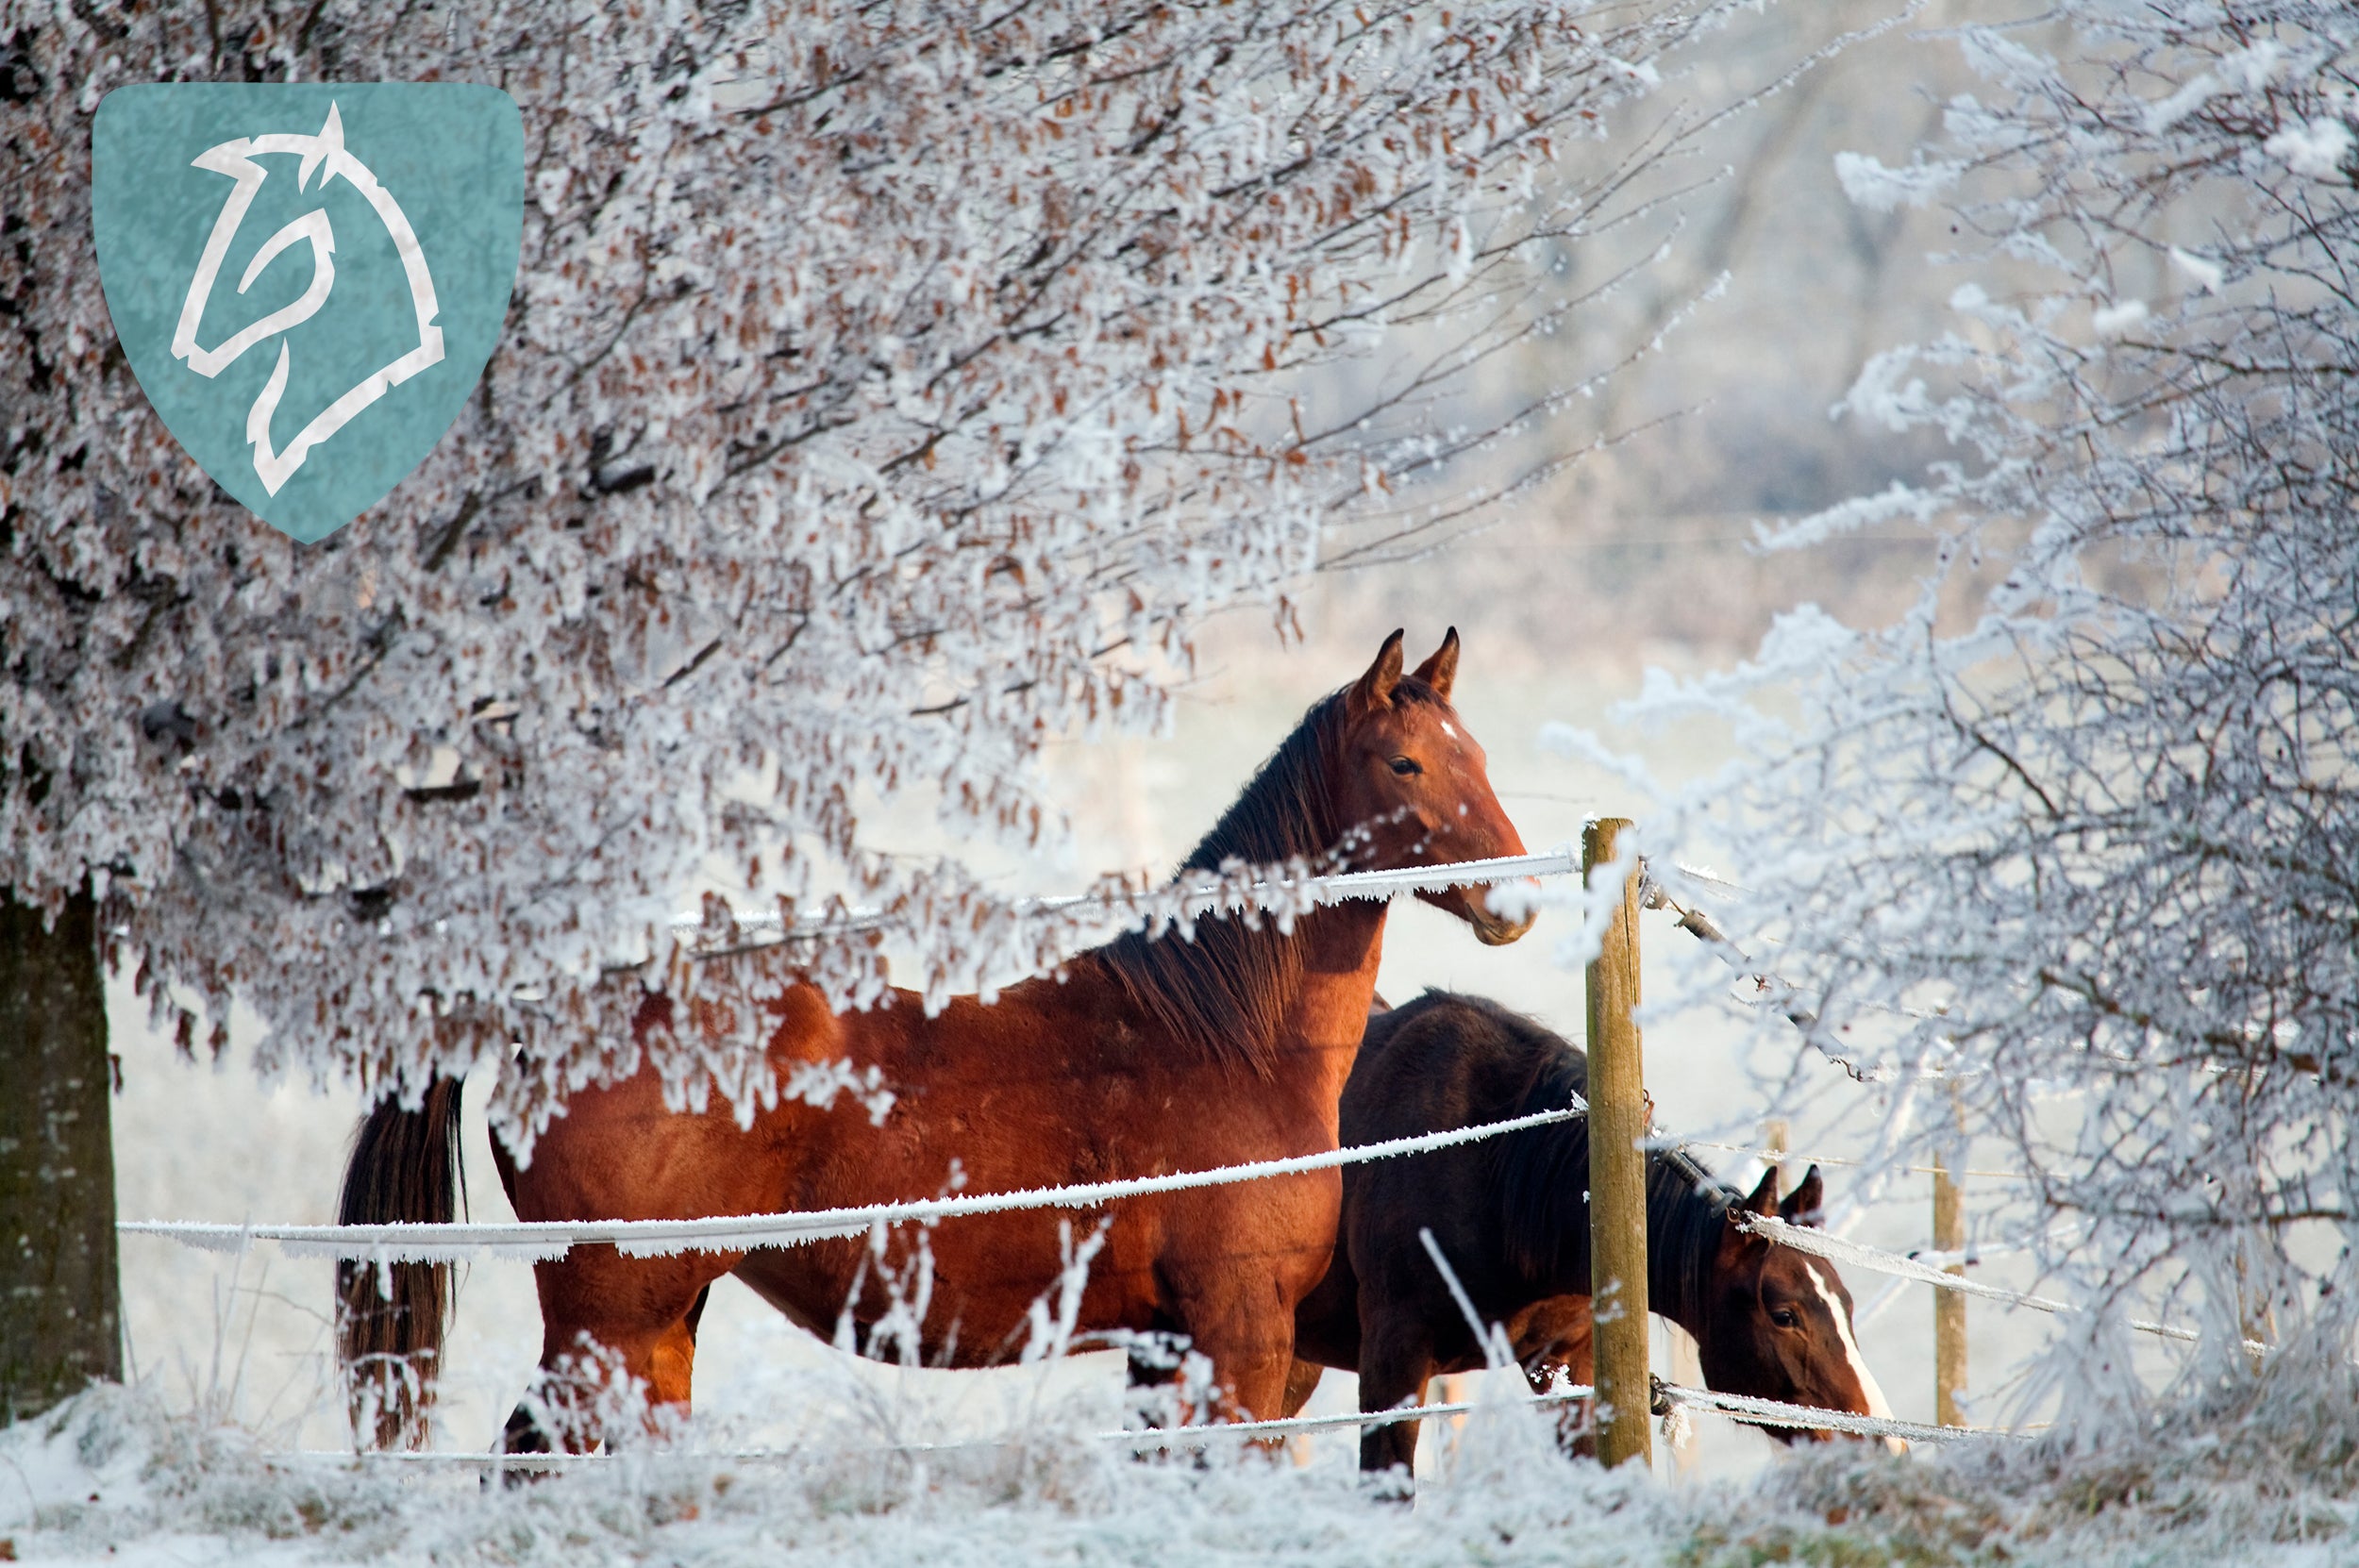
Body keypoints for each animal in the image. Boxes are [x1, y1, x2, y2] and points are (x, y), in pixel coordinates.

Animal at [342, 631, 1538, 1452]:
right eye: (1404, 766)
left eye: (1476, 751)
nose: (1514, 906)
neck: (1219, 1034)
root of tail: (540, 1013)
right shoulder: (1237, 1341)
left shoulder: (1166, 1353)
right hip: (612, 1324)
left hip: (664, 1322)